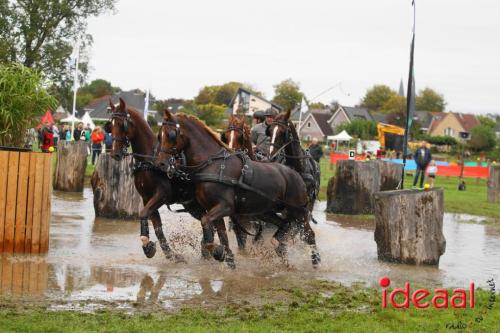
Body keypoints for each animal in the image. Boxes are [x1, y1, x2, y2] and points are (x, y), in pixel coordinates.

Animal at [108, 98, 231, 264]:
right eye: (111, 124)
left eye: (123, 125)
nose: (115, 153)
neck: (150, 160)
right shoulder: (147, 199)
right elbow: (157, 228)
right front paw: (165, 253)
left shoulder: (161, 195)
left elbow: (143, 213)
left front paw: (149, 246)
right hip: (192, 205)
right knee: (208, 223)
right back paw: (206, 251)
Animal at [157, 110, 320, 266]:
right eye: (159, 136)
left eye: (171, 135)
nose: (162, 163)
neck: (214, 165)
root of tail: (296, 174)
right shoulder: (215, 210)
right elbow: (221, 237)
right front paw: (227, 258)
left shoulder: (225, 207)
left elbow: (207, 224)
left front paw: (218, 252)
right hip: (267, 212)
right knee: (285, 226)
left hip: (298, 211)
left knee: (308, 235)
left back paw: (315, 262)